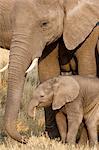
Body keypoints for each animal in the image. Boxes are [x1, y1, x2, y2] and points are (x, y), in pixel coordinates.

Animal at [0, 0, 97, 143]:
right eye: (11, 22)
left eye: (44, 24)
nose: (25, 139)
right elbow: (47, 71)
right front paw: (54, 139)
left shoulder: (91, 29)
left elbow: (87, 68)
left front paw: (83, 143)